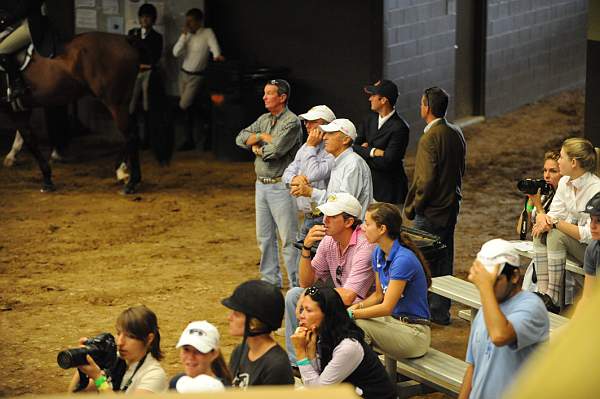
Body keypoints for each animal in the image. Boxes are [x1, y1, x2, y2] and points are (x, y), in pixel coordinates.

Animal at [1, 30, 162, 194]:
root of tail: (126, 40)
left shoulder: (13, 109)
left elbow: (30, 140)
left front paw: (47, 179)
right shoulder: (20, 108)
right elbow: (26, 137)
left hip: (114, 102)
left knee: (131, 135)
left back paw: (130, 183)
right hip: (124, 102)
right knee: (132, 133)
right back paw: (121, 171)